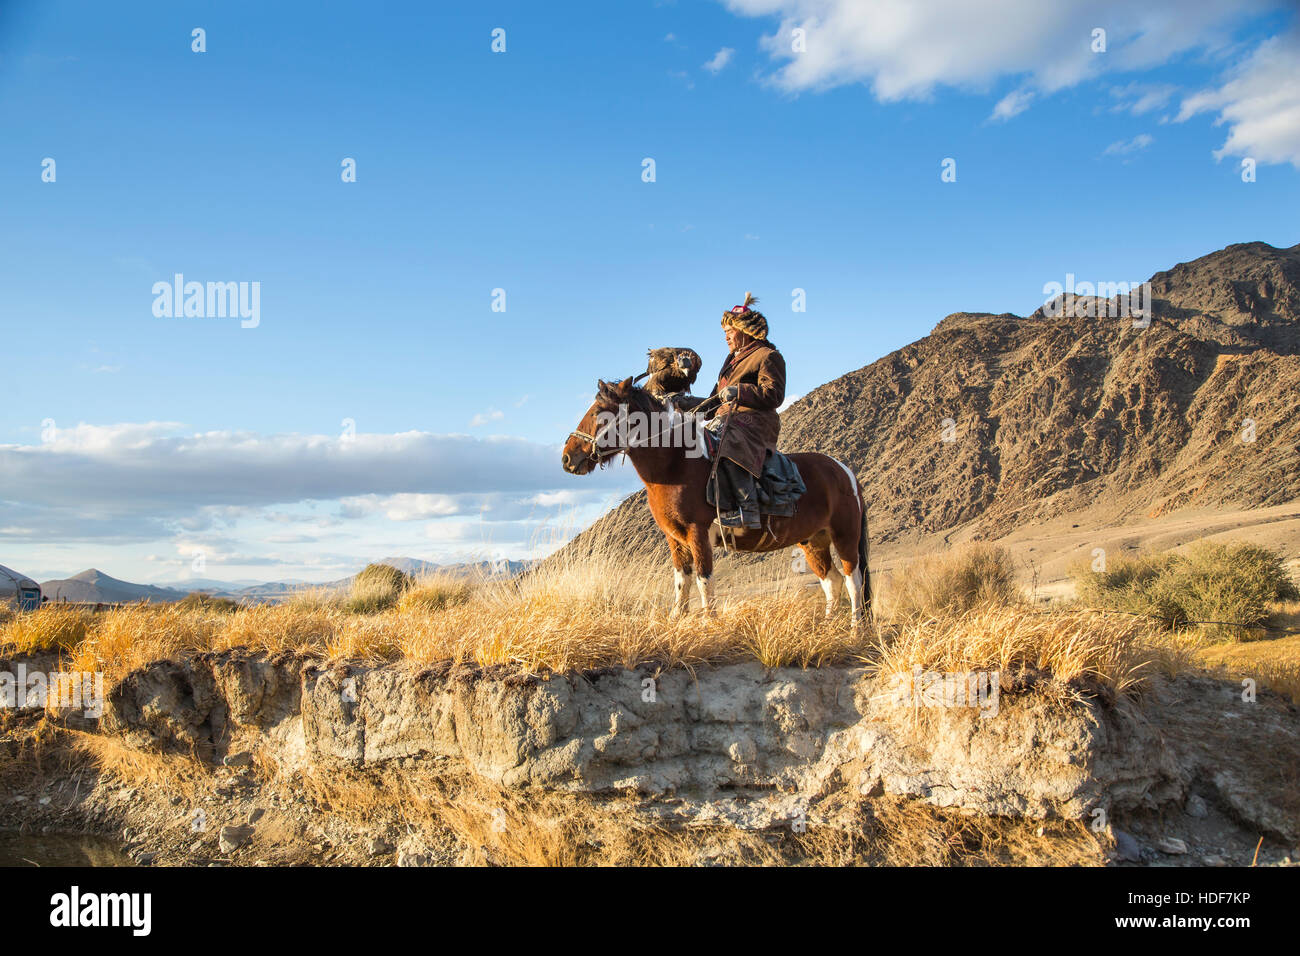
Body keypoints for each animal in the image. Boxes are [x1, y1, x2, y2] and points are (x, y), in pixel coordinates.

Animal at [561, 377, 873, 624]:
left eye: (599, 413)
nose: (567, 458)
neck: (675, 465)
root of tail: (845, 472)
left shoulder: (698, 533)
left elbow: (703, 580)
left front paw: (709, 624)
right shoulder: (674, 538)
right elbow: (681, 581)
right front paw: (676, 620)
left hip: (844, 536)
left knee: (853, 580)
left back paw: (855, 630)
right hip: (813, 541)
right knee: (831, 581)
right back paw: (829, 625)